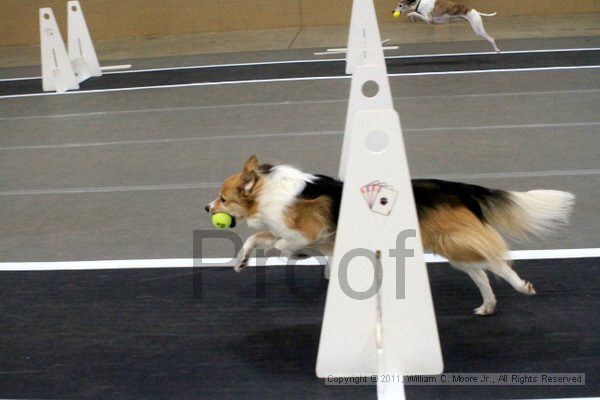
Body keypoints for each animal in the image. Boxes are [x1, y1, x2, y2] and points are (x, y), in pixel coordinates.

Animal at [205, 156, 572, 316]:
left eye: (223, 198)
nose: (207, 207)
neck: (266, 192)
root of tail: (455, 187)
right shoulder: (292, 232)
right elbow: (255, 240)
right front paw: (241, 262)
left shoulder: (307, 232)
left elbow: (284, 243)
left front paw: (294, 255)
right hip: (455, 249)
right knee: (481, 273)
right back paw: (488, 306)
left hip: (453, 241)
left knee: (497, 262)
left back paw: (520, 286)